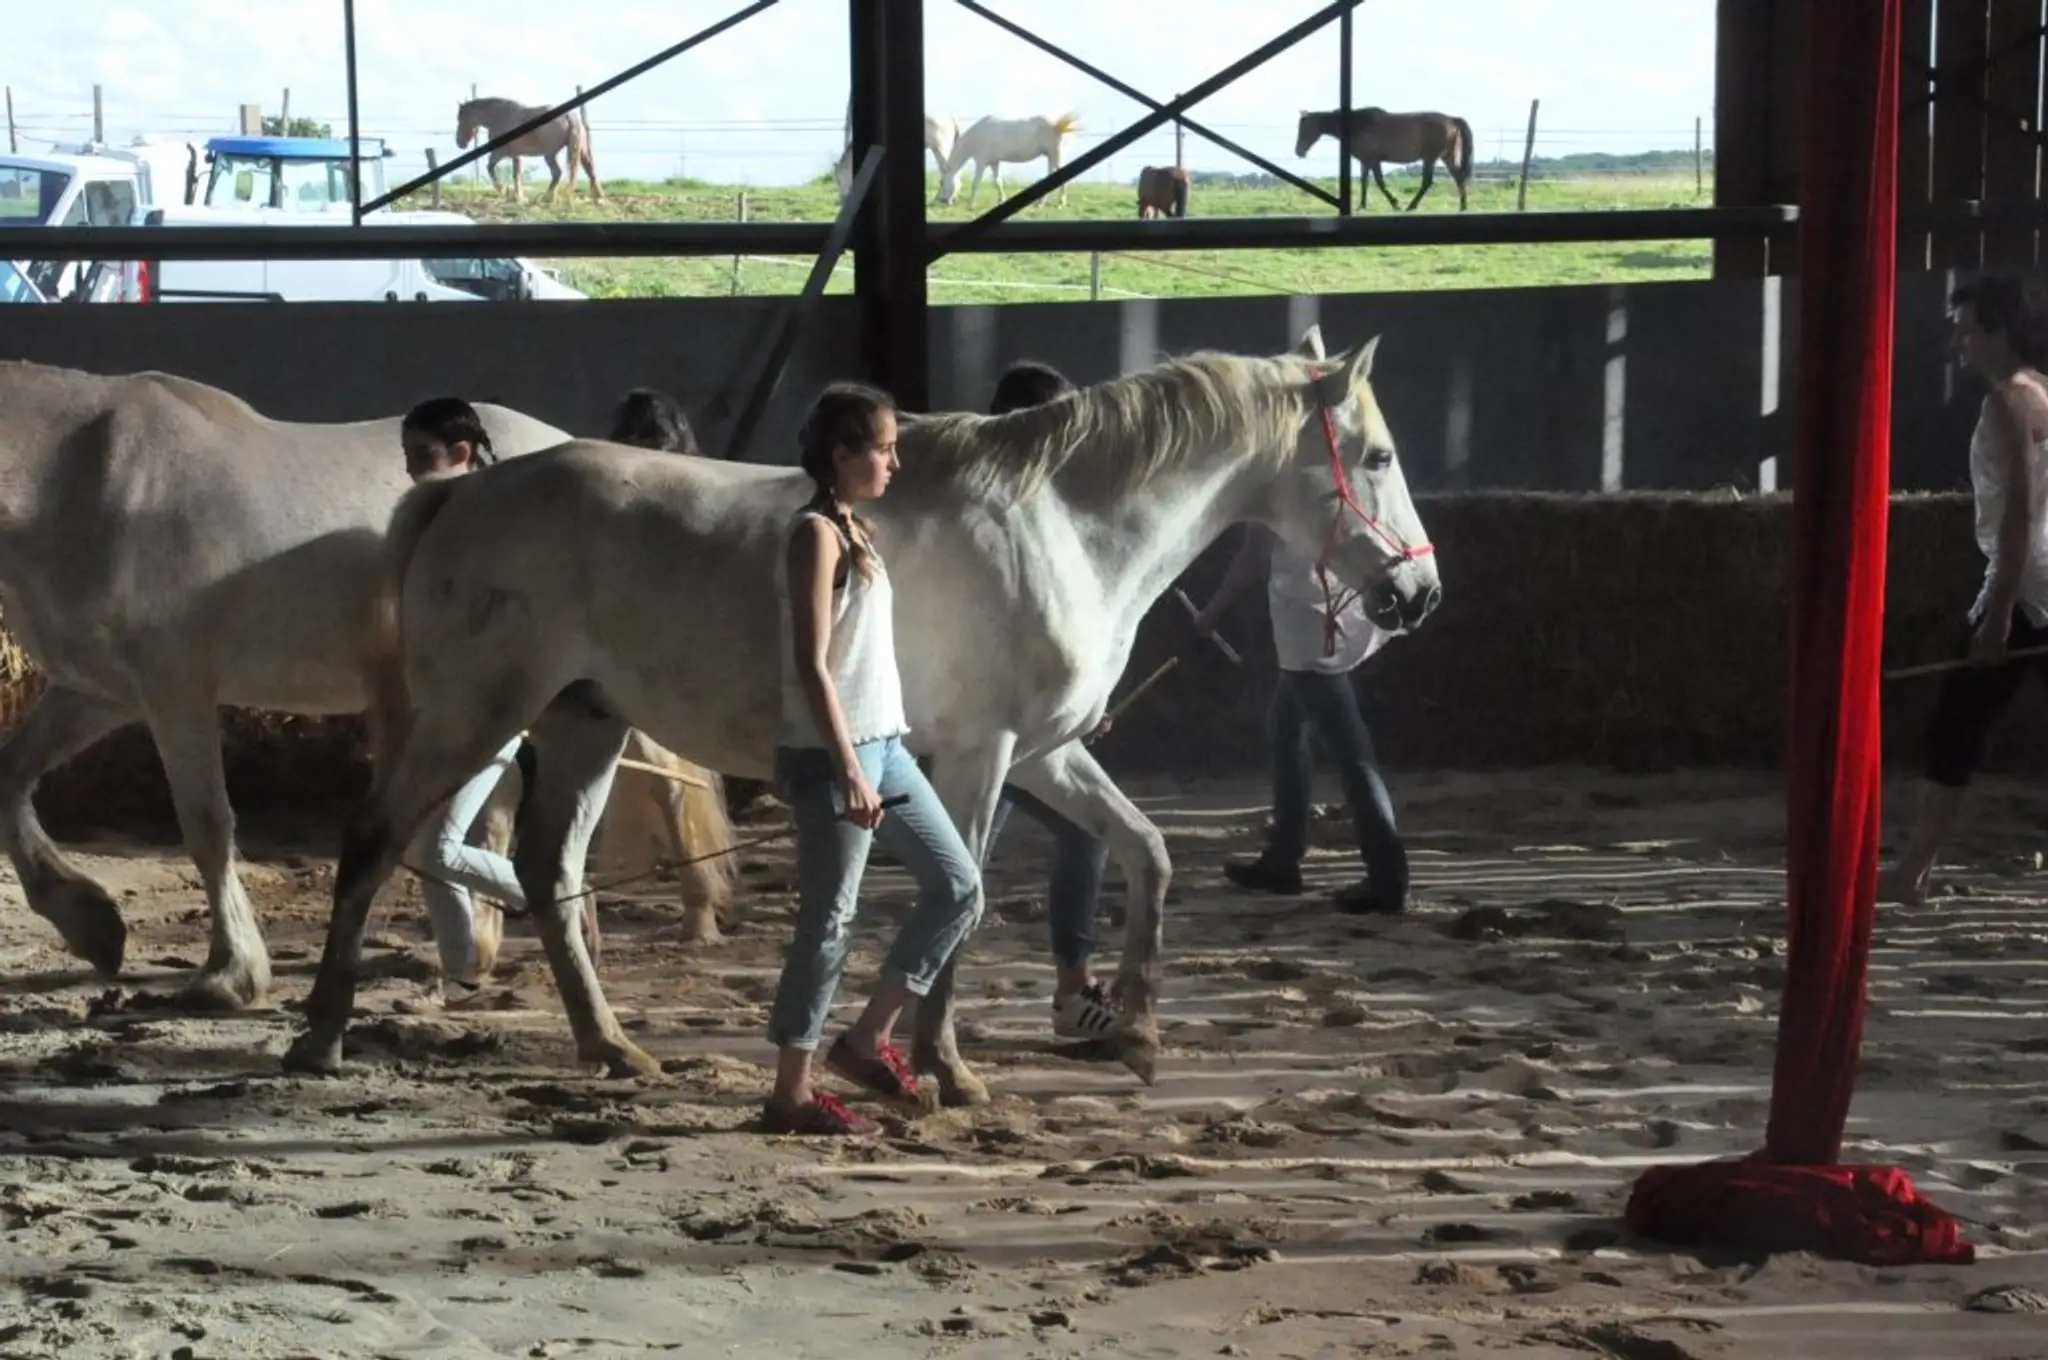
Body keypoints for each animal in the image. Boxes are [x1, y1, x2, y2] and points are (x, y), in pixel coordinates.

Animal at [0, 362, 735, 1009]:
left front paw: (232, 974)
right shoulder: (100, 691)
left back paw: (692, 915)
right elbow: (12, 781)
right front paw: (90, 924)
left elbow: (207, 826)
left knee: (670, 779)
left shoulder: (176, 690)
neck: (87, 478)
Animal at [284, 326, 1442, 1107]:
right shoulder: (981, 758)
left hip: (582, 725)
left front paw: (1137, 1028)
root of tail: (459, 495)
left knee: (547, 869)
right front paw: (941, 1066)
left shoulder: (1048, 754)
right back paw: (320, 1038)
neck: (1062, 526)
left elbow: (1146, 854)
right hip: (474, 715)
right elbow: (965, 901)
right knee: (375, 841)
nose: (1417, 595)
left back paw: (611, 1048)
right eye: (1379, 458)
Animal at [456, 96, 603, 204]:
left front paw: (504, 190)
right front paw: (518, 197)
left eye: (460, 118)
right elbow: (517, 175)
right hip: (581, 151)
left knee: (557, 173)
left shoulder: (499, 152)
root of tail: (568, 115)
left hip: (549, 155)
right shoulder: (516, 155)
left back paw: (548, 197)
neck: (500, 116)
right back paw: (599, 197)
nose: (459, 142)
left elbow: (490, 168)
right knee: (590, 170)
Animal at [938, 113, 1080, 209]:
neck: (976, 135)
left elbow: (976, 183)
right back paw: (1040, 203)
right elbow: (997, 182)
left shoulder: (981, 163)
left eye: (942, 182)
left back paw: (1060, 203)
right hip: (1050, 155)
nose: (943, 201)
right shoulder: (994, 162)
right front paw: (1001, 200)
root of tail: (1059, 124)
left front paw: (971, 204)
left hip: (1055, 154)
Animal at [1295, 107, 1475, 212]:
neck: (1358, 125)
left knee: (1427, 182)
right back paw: (1463, 206)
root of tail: (1452, 119)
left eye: (1304, 127)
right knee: (1458, 177)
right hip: (1447, 156)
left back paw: (1411, 206)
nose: (1298, 152)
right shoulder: (1365, 161)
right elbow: (1364, 182)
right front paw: (1362, 205)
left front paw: (1395, 203)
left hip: (1430, 158)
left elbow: (1380, 182)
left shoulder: (1374, 161)